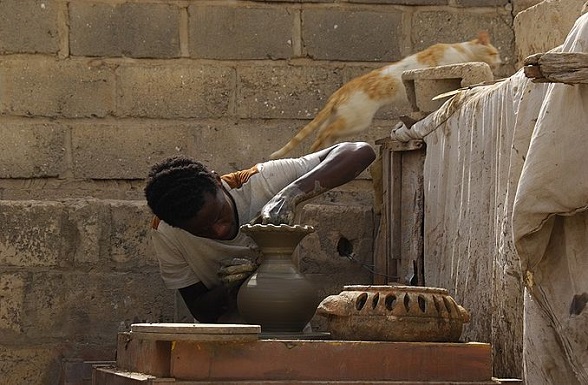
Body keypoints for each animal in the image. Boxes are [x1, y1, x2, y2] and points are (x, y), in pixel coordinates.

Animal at [270, 32, 500, 158]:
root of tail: (341, 90)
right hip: (356, 121)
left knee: (322, 133)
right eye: (494, 52)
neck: (462, 50)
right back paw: (320, 149)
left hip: (343, 120)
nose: (500, 62)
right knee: (324, 133)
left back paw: (324, 150)